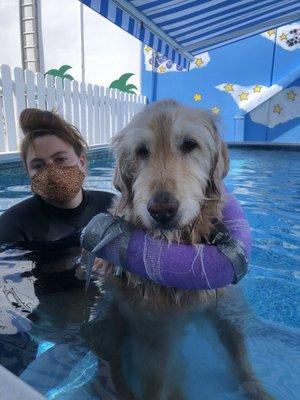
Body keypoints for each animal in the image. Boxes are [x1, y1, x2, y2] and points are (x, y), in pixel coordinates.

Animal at [84, 100, 274, 400]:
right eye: (141, 151)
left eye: (189, 144)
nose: (161, 210)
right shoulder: (154, 335)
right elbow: (154, 384)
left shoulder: (227, 308)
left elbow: (241, 359)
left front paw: (259, 390)